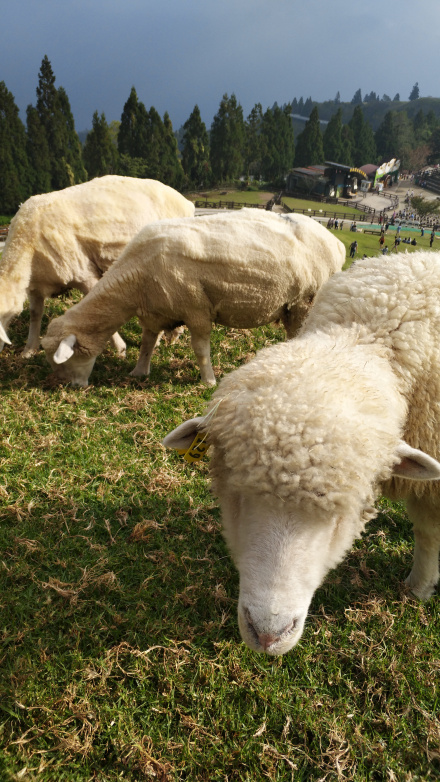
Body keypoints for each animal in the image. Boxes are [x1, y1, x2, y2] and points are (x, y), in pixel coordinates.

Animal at [0, 176, 194, 356]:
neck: (24, 242)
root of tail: (187, 202)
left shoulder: (83, 274)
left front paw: (120, 349)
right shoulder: (35, 284)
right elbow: (35, 314)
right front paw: (29, 350)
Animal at [39, 210, 346, 388]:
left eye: (63, 361)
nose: (72, 388)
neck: (135, 279)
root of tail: (336, 242)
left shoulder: (196, 309)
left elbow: (200, 350)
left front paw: (208, 381)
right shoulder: (154, 313)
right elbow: (147, 344)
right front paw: (139, 372)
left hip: (304, 302)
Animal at [163, 254, 440, 660]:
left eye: (342, 516)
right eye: (234, 495)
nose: (268, 635)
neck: (368, 333)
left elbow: (428, 530)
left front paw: (418, 587)